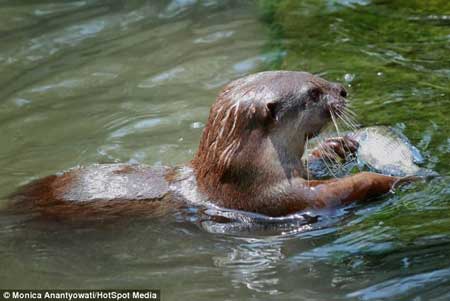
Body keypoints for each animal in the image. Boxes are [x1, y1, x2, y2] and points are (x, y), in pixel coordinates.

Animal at [8, 70, 414, 217]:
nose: (342, 90)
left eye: (315, 75)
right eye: (313, 93)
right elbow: (335, 192)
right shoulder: (270, 199)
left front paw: (338, 146)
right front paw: (395, 180)